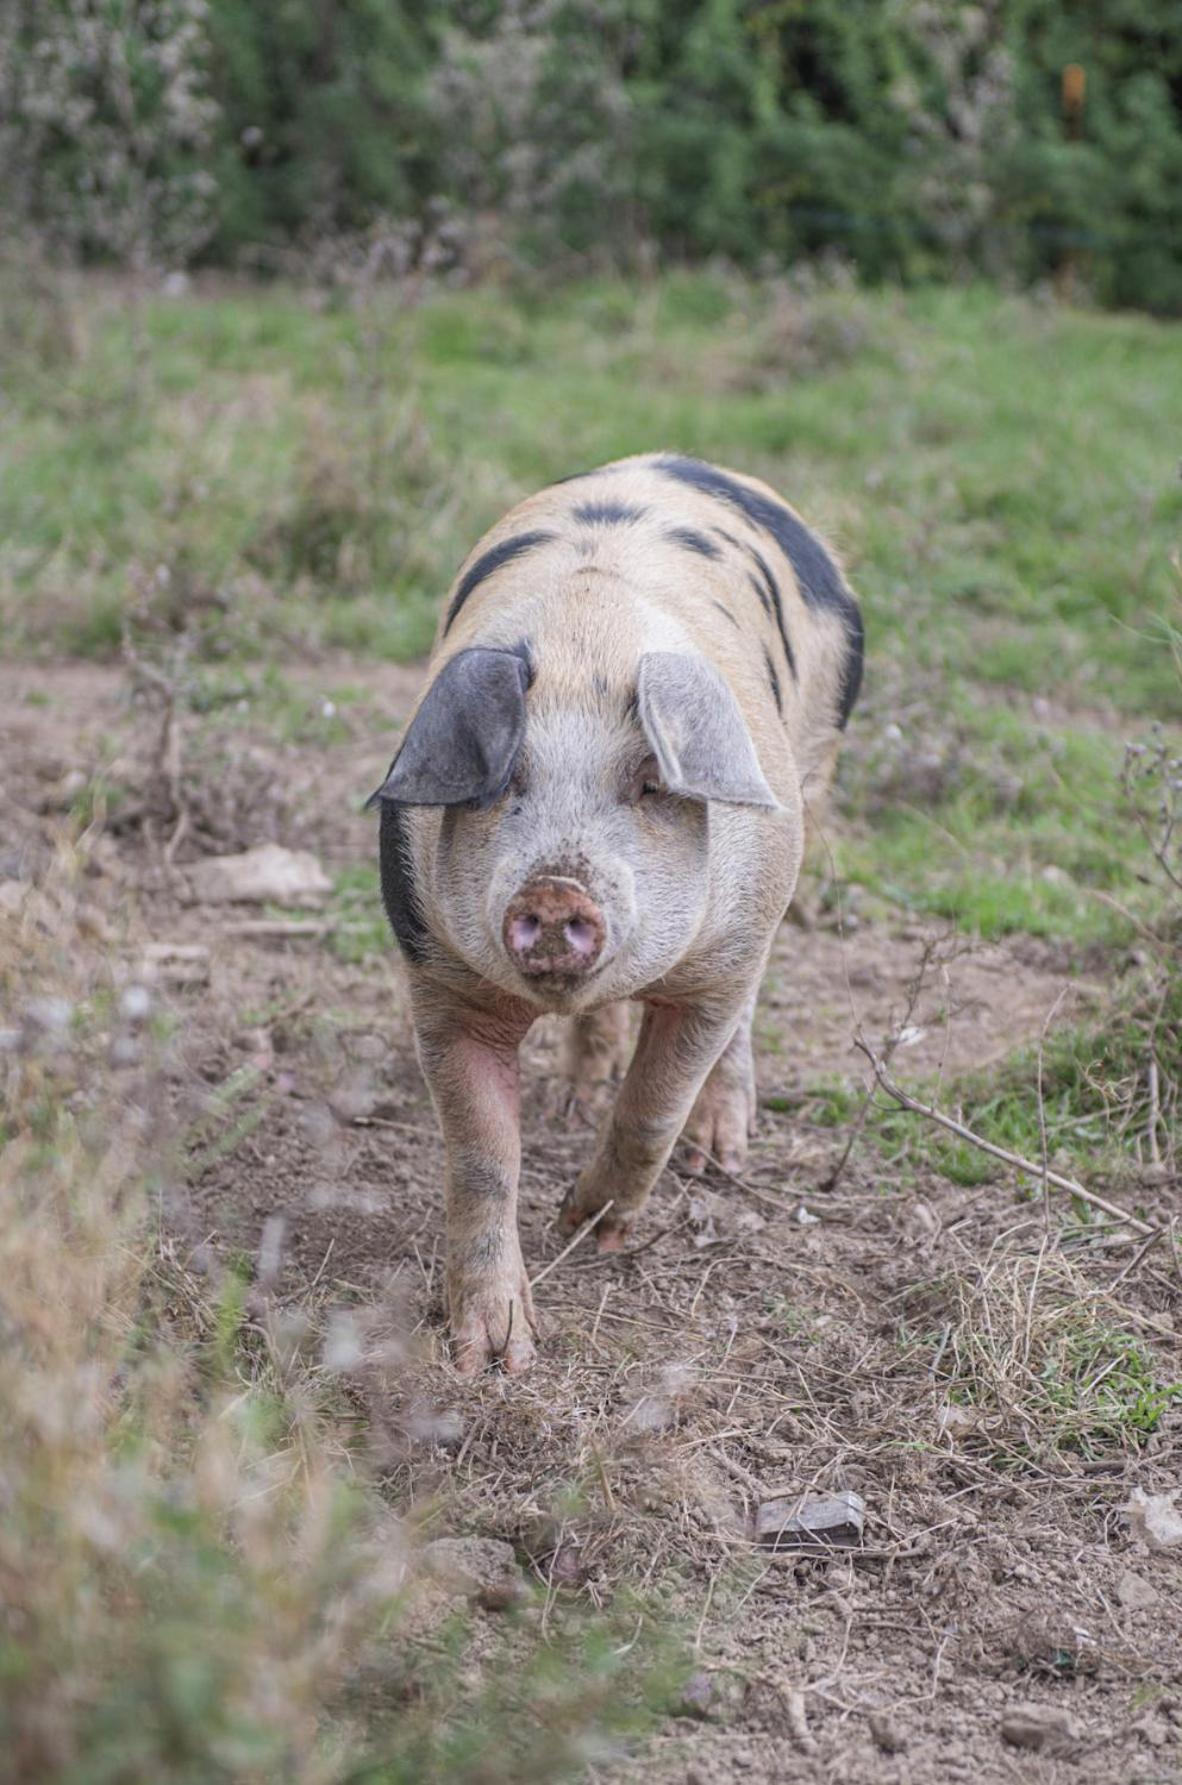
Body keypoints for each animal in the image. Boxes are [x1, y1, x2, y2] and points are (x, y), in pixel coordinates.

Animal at [366, 453, 867, 1370]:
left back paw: (717, 1158)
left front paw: (587, 1228)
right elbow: (482, 1156)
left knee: (745, 1010)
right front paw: (495, 1356)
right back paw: (573, 1100)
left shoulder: (717, 965)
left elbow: (654, 1105)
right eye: (504, 780)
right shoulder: (438, 975)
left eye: (649, 783)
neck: (584, 644)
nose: (555, 890)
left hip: (812, 781)